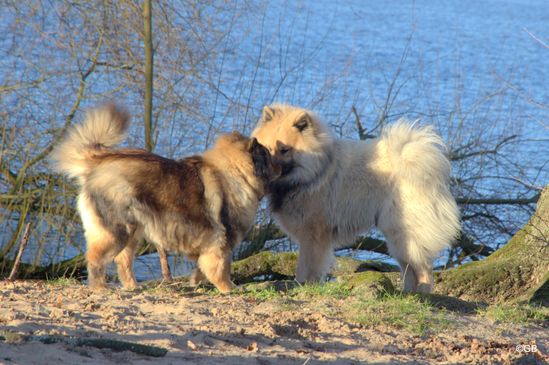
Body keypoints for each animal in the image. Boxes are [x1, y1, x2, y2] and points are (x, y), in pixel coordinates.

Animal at [53, 104, 280, 292]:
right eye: (267, 156)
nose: (280, 163)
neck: (236, 173)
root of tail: (100, 161)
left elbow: (203, 267)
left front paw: (197, 282)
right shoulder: (222, 242)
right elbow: (222, 267)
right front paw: (229, 288)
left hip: (133, 233)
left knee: (123, 262)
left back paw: (133, 287)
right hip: (117, 231)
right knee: (96, 259)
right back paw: (100, 287)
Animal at [252, 104, 458, 292]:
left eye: (284, 150)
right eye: (267, 149)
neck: (316, 170)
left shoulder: (313, 235)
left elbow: (307, 267)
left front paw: (304, 285)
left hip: (404, 233)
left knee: (423, 269)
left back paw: (422, 294)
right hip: (397, 237)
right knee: (409, 268)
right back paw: (406, 294)